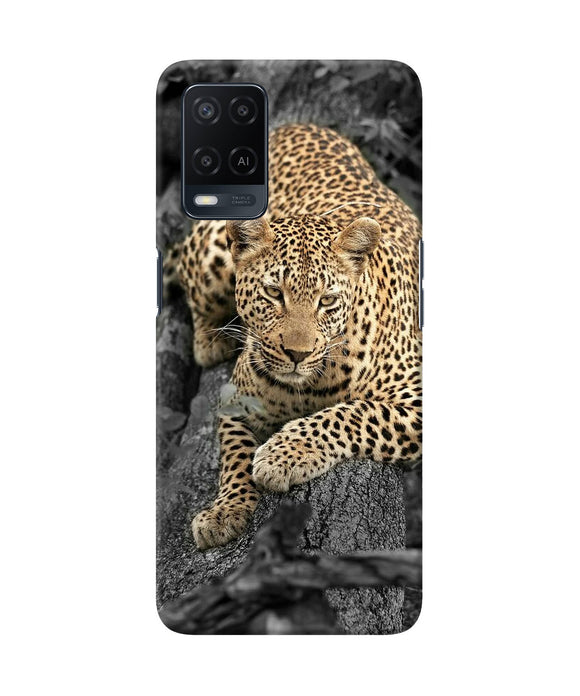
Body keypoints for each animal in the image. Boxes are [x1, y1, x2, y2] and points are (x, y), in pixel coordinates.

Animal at [176, 123, 422, 550]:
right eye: (275, 293)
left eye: (327, 300)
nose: (296, 353)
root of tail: (295, 125)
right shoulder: (235, 401)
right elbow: (234, 456)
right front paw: (225, 511)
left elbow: (354, 413)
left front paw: (283, 454)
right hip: (212, 254)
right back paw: (211, 341)